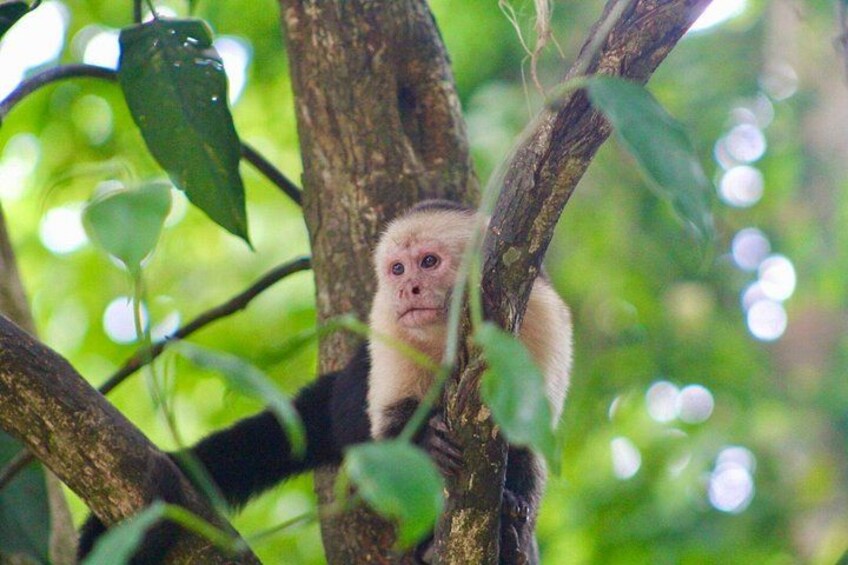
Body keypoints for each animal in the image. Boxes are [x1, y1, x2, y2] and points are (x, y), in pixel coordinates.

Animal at [78, 200, 572, 564]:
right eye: (397, 269)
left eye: (429, 262)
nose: (407, 290)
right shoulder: (386, 322)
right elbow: (392, 429)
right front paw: (426, 441)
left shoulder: (540, 318)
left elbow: (529, 430)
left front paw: (512, 506)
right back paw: (429, 545)